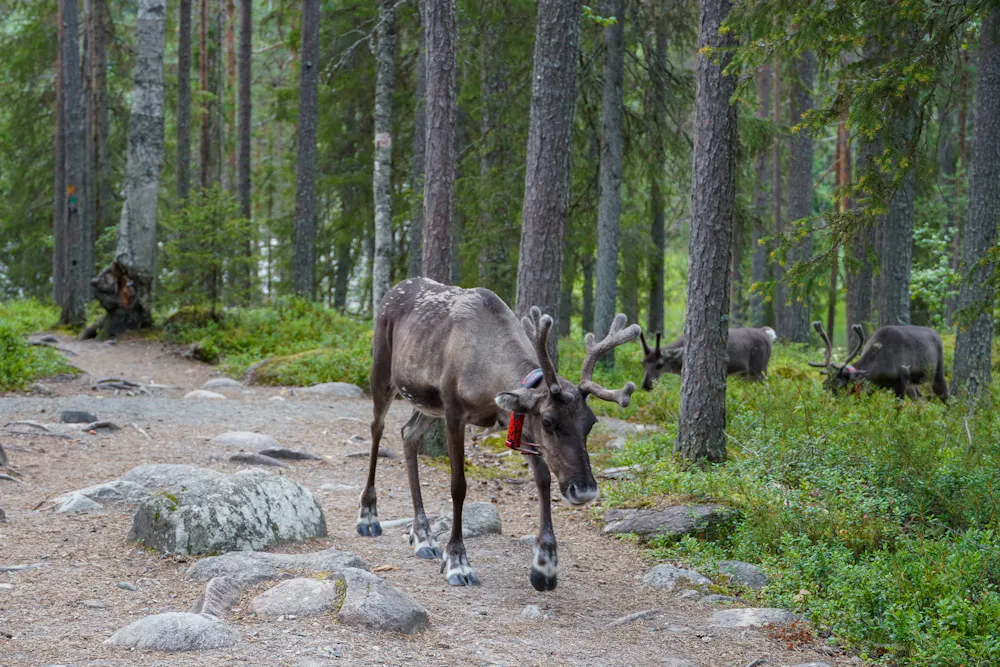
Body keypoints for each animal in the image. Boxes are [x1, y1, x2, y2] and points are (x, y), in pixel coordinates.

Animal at [357, 277, 640, 590]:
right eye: (549, 421)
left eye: (591, 422)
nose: (585, 490)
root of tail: (394, 289)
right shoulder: (454, 411)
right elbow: (458, 485)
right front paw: (457, 562)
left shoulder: (516, 420)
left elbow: (543, 480)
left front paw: (545, 565)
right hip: (383, 372)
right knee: (377, 428)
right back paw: (369, 517)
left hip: (429, 406)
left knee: (408, 434)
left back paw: (423, 536)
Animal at [639, 327, 776, 391]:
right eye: (642, 363)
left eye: (659, 365)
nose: (646, 385)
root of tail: (765, 332)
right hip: (746, 375)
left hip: (760, 367)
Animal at [808, 321, 948, 401]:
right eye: (824, 385)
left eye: (840, 385)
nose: (826, 402)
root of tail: (938, 335)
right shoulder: (873, 386)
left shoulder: (902, 380)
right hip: (912, 385)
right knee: (920, 401)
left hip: (937, 373)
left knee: (946, 397)